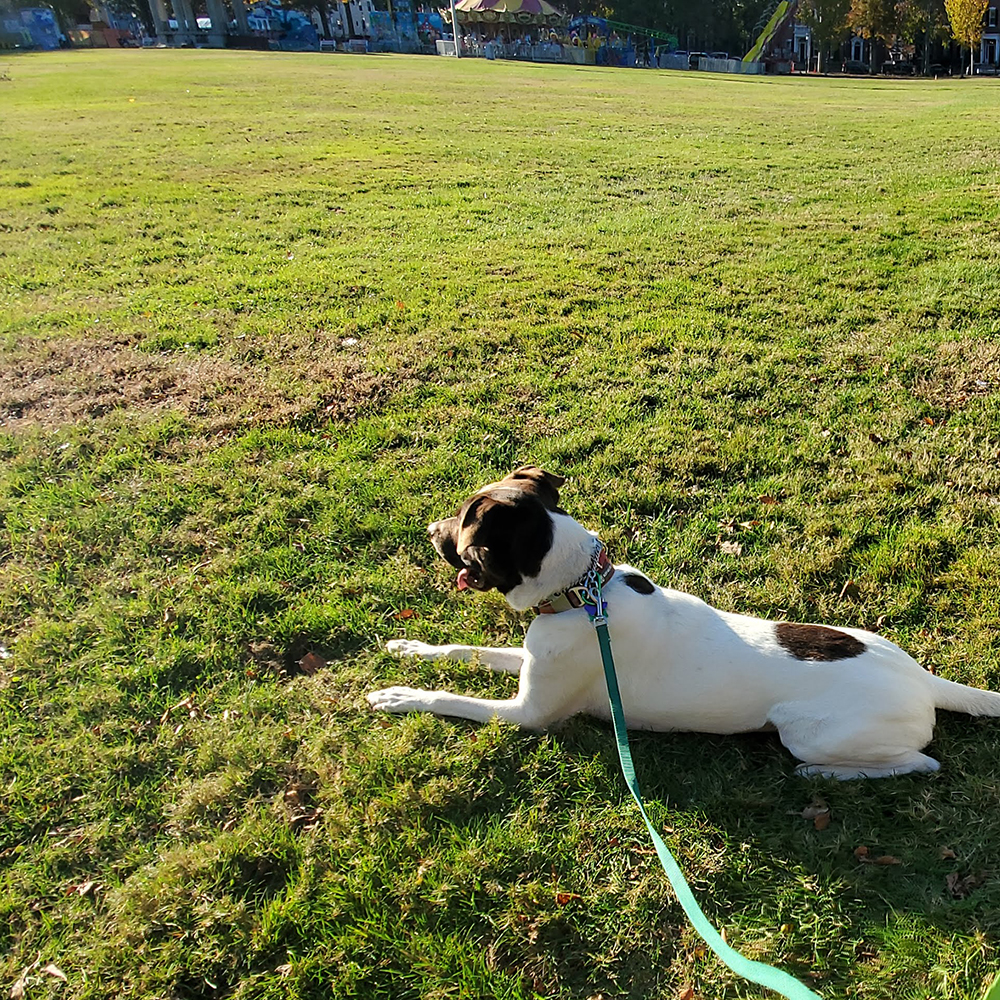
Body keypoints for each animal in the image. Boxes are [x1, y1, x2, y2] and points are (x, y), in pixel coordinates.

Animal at [370, 464, 1000, 776]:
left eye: (463, 523)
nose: (428, 531)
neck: (581, 590)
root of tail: (924, 681)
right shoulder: (529, 660)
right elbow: (463, 651)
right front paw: (409, 649)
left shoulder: (530, 714)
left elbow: (449, 697)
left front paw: (399, 695)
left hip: (810, 734)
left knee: (922, 763)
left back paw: (825, 775)